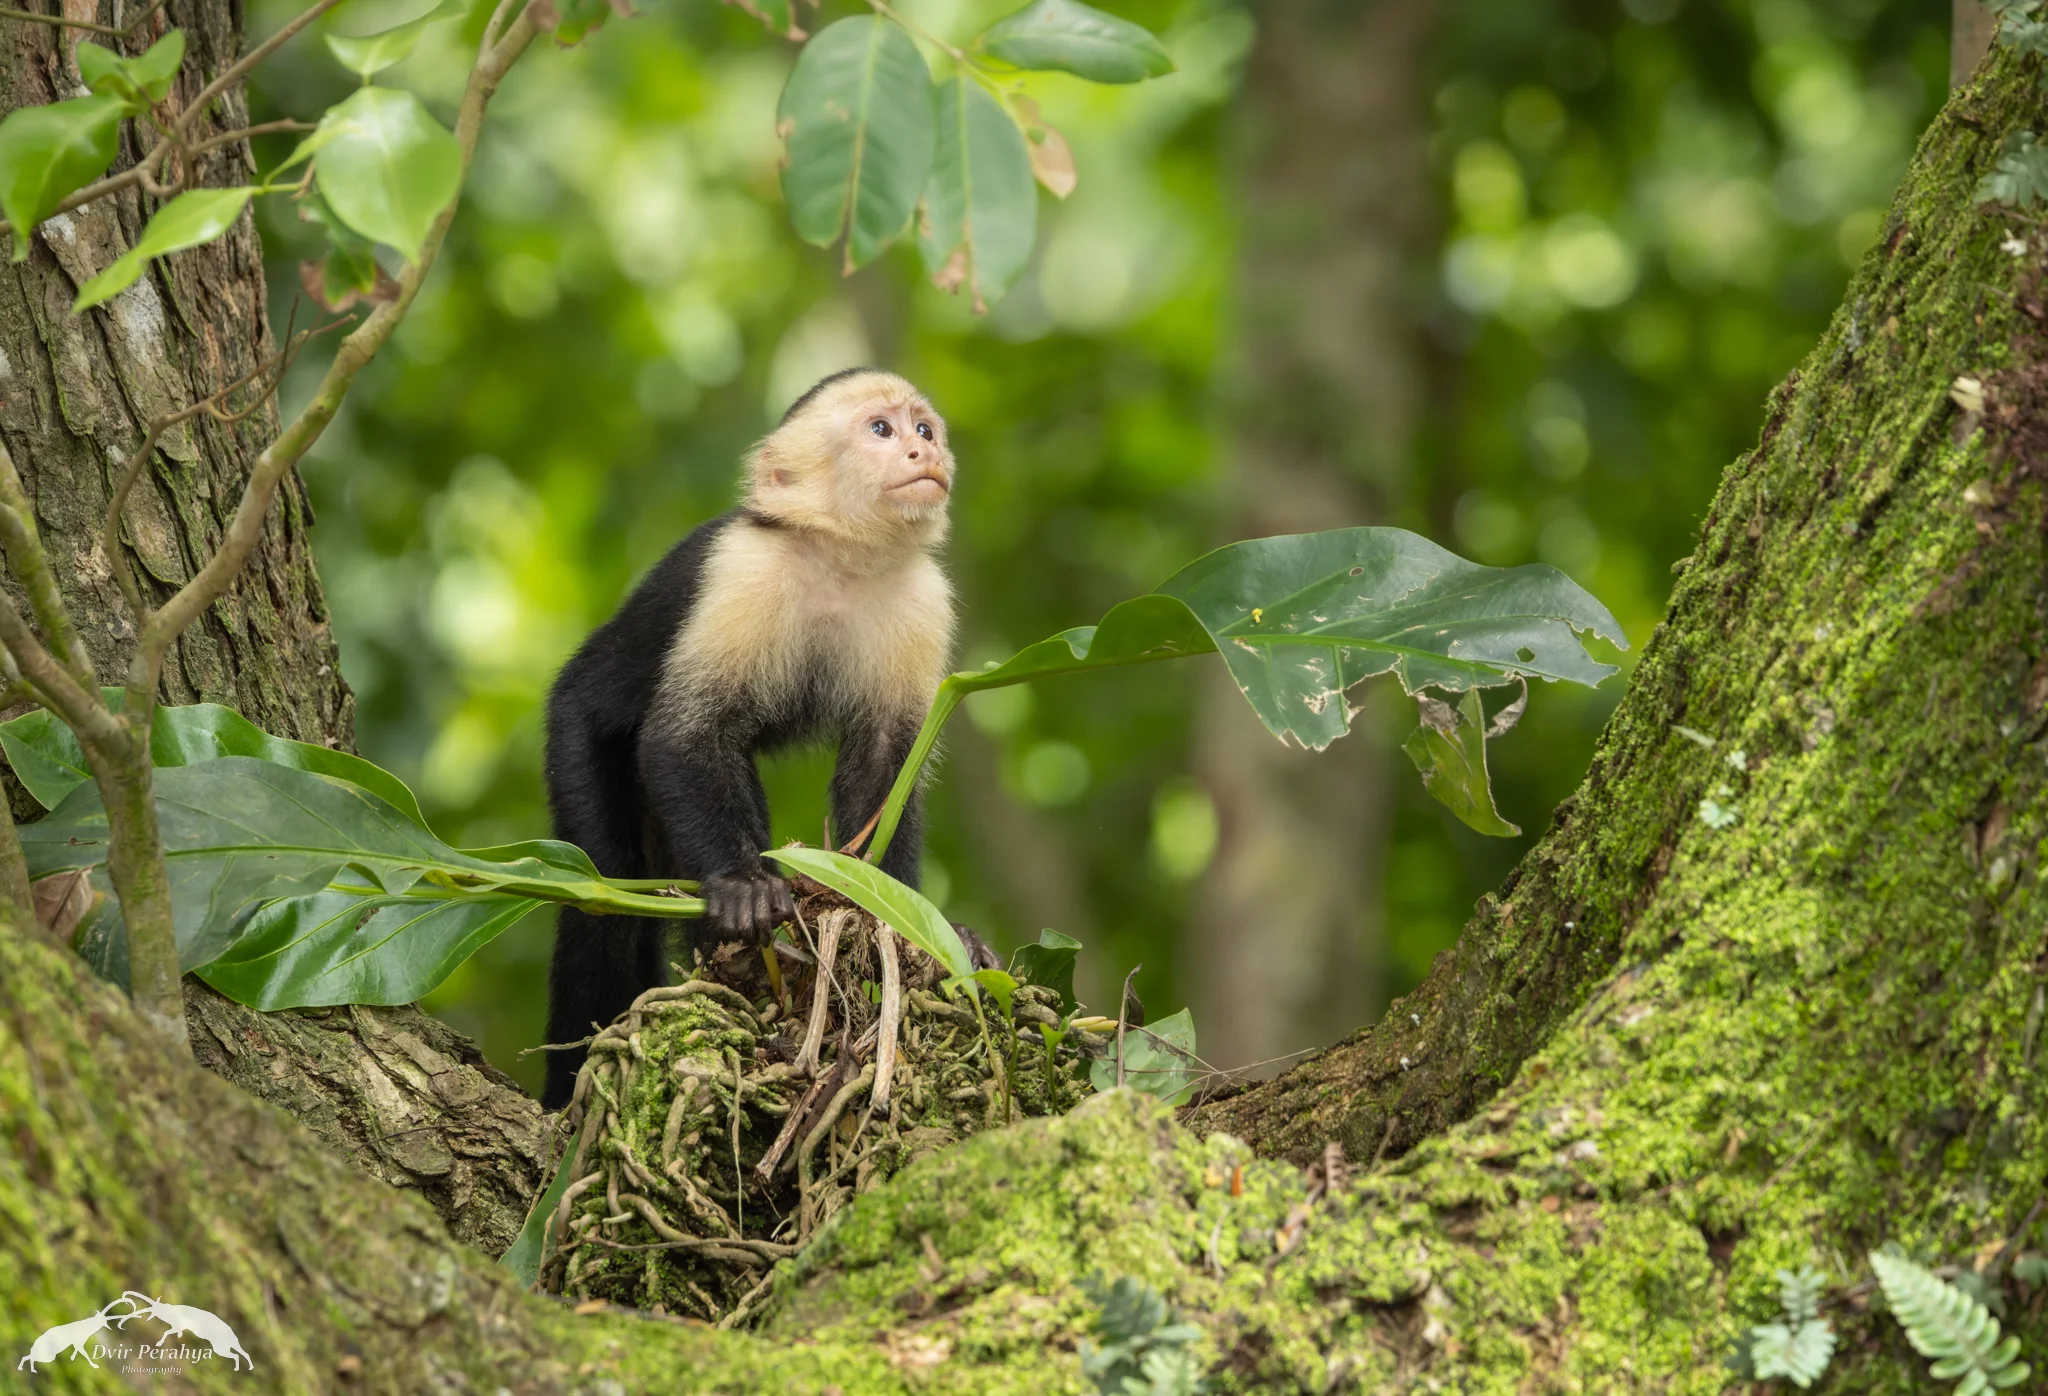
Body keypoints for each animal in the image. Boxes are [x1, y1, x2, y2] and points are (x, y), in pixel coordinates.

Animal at [540, 368, 960, 1109]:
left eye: (923, 428)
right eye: (880, 430)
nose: (922, 453)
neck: (842, 557)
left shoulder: (922, 601)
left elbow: (883, 770)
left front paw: (897, 916)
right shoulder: (744, 570)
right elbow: (684, 735)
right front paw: (741, 886)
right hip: (573, 738)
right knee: (604, 897)